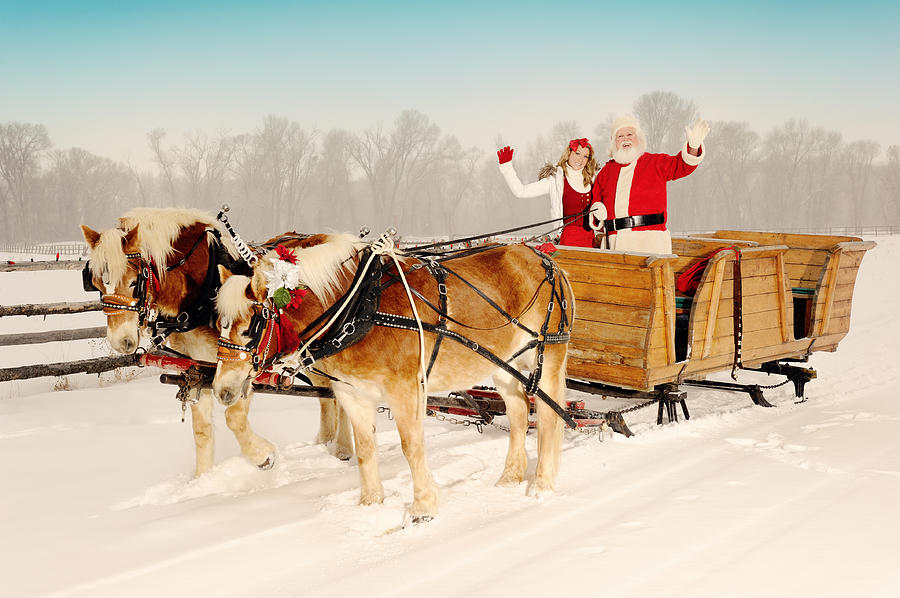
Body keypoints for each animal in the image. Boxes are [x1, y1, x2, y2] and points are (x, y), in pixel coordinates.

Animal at [79, 209, 352, 480]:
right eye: (96, 283)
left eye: (134, 281)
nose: (120, 341)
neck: (201, 294)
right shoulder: (197, 368)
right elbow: (202, 431)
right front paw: (202, 480)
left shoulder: (242, 365)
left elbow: (234, 417)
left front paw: (264, 456)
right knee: (327, 390)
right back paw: (327, 441)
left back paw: (342, 447)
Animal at [214, 232, 572, 524]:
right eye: (218, 323)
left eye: (250, 328)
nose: (222, 391)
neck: (359, 307)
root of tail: (545, 260)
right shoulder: (352, 393)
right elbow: (365, 449)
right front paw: (371, 504)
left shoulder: (406, 390)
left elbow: (411, 446)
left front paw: (423, 508)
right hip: (503, 365)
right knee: (519, 413)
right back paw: (510, 477)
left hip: (547, 358)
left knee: (548, 417)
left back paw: (541, 484)